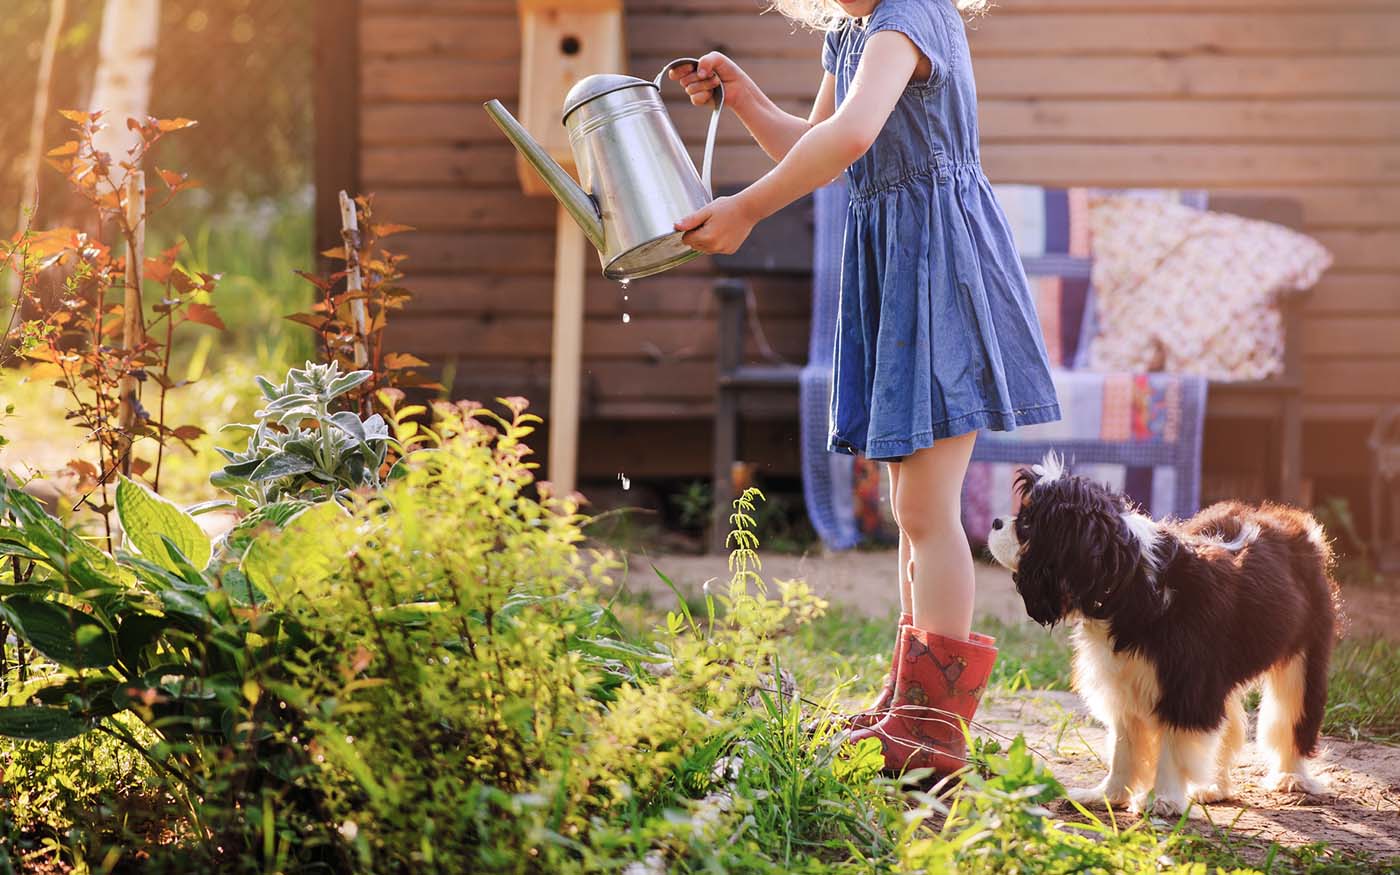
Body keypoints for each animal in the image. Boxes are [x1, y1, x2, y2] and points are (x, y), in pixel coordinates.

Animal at [980, 453, 1338, 817]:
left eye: (1026, 525)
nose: (995, 522)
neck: (1128, 580)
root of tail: (1281, 516)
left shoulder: (1187, 688)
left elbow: (1173, 747)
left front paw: (1162, 800)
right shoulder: (1127, 685)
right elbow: (1124, 748)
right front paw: (1109, 795)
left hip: (1302, 660)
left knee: (1291, 716)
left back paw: (1292, 777)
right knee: (1230, 725)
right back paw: (1214, 787)